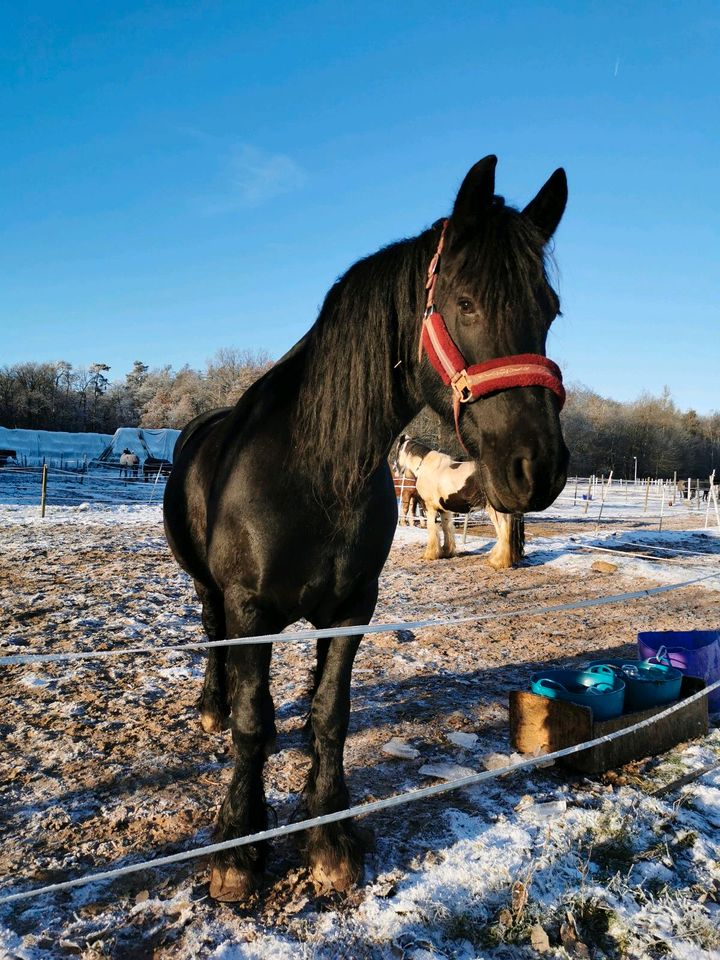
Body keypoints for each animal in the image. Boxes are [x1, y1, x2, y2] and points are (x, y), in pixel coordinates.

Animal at [394, 436, 524, 568]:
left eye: (397, 450)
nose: (395, 472)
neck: (427, 466)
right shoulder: (444, 510)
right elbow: (446, 529)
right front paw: (447, 552)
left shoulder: (430, 509)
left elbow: (432, 530)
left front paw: (430, 555)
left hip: (495, 511)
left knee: (503, 531)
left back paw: (497, 561)